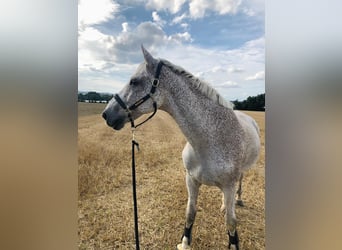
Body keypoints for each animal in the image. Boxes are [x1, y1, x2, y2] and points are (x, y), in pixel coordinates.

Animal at [103, 46, 260, 249]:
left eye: (134, 81)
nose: (106, 114)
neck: (210, 142)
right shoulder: (191, 180)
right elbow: (190, 212)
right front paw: (185, 243)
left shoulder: (229, 185)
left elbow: (231, 222)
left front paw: (233, 244)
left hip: (239, 176)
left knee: (240, 184)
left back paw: (237, 200)